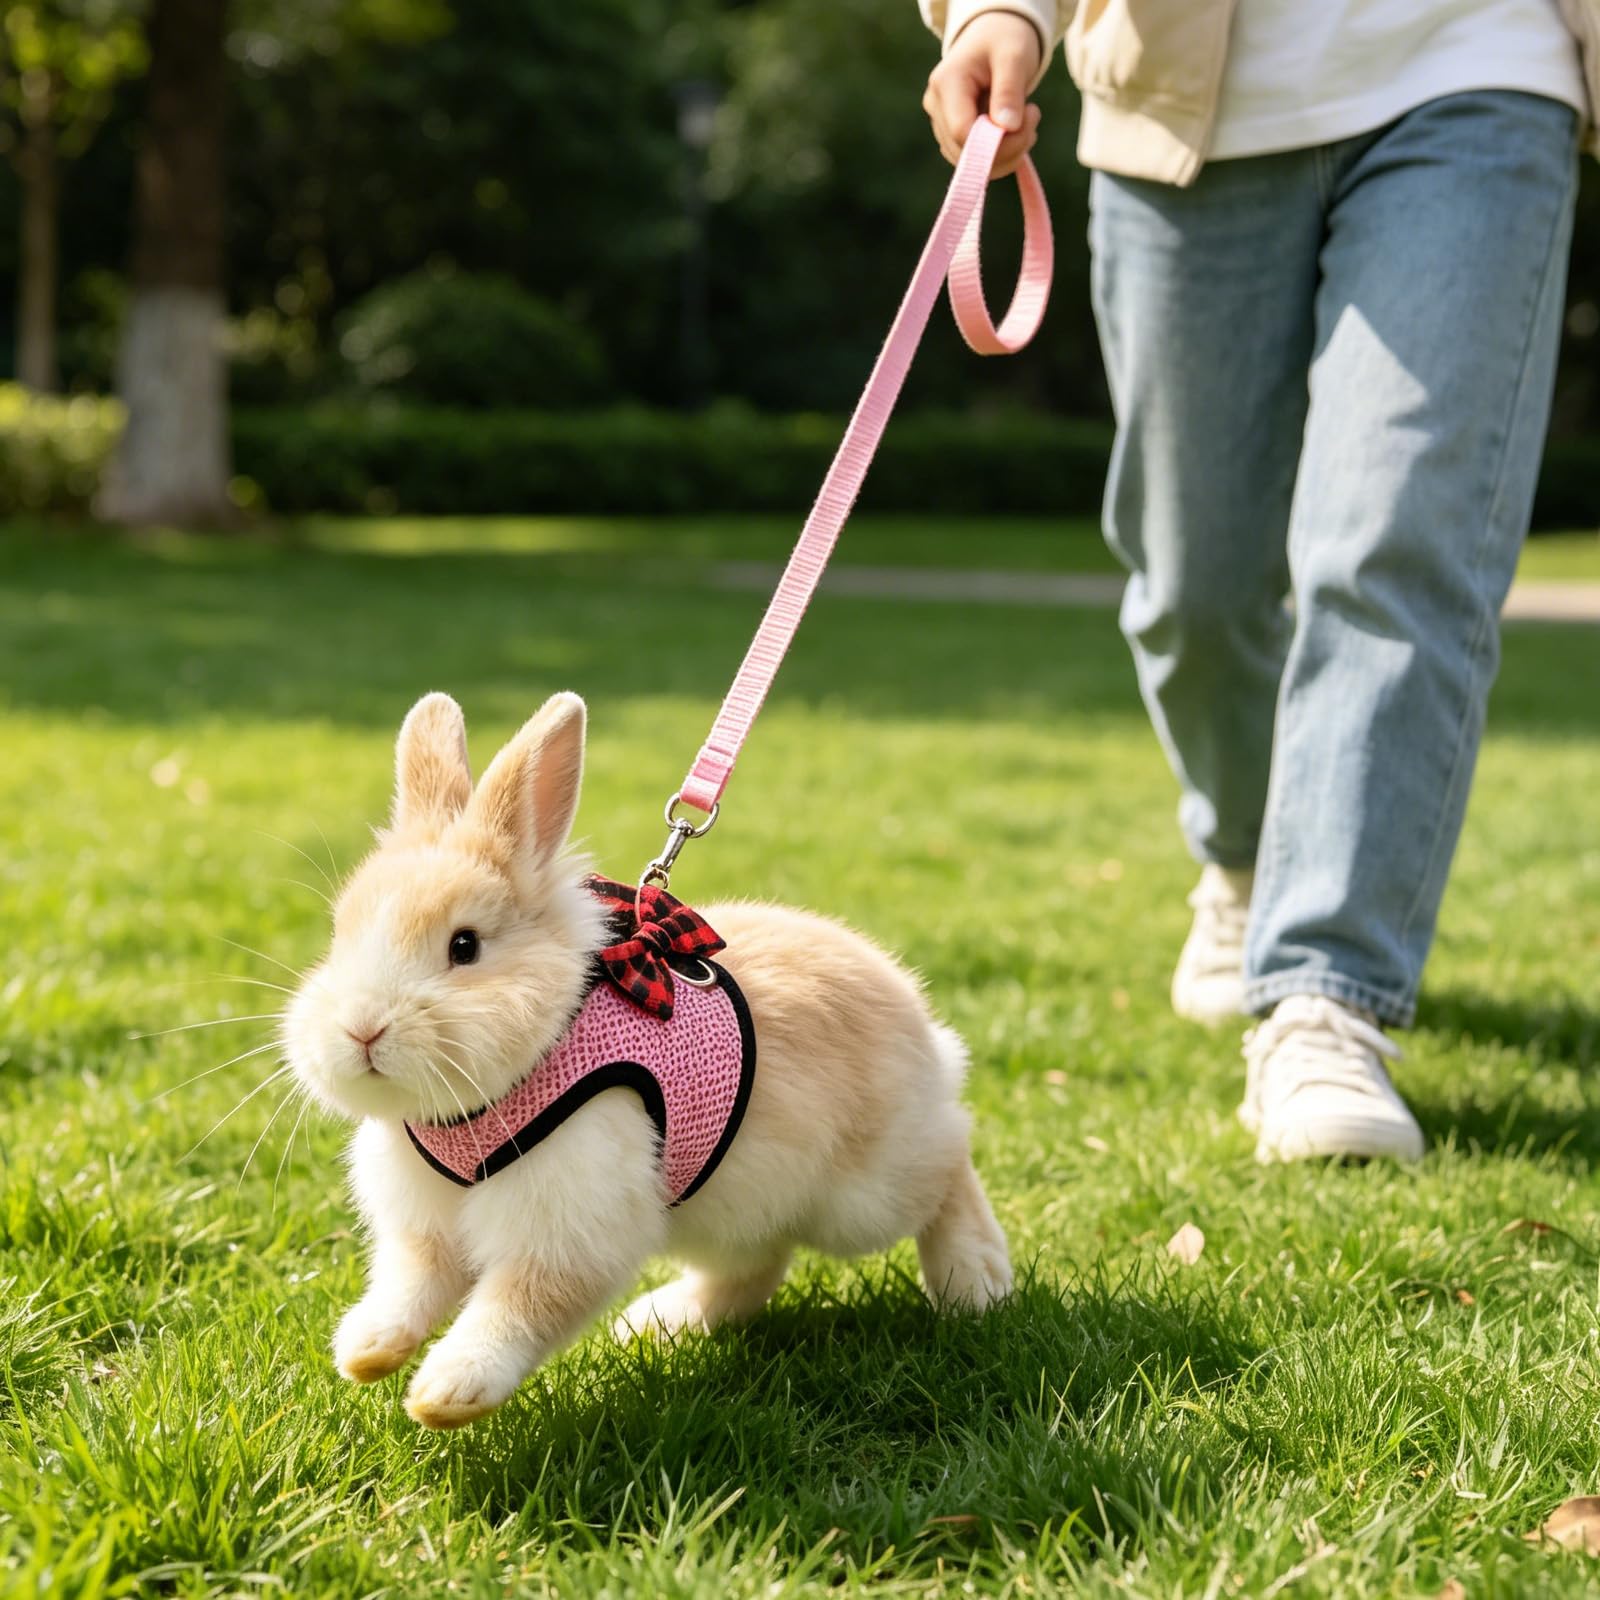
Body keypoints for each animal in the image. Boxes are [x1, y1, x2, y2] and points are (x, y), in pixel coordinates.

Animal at [283, 689, 1012, 1429]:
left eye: (465, 946)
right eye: (340, 937)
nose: (360, 1029)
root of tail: (919, 1023)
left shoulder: (570, 1227)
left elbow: (517, 1307)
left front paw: (447, 1393)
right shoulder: (424, 1230)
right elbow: (410, 1285)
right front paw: (365, 1351)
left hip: (865, 1195)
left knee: (949, 1167)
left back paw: (977, 1285)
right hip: (718, 1202)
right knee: (758, 1264)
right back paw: (656, 1323)